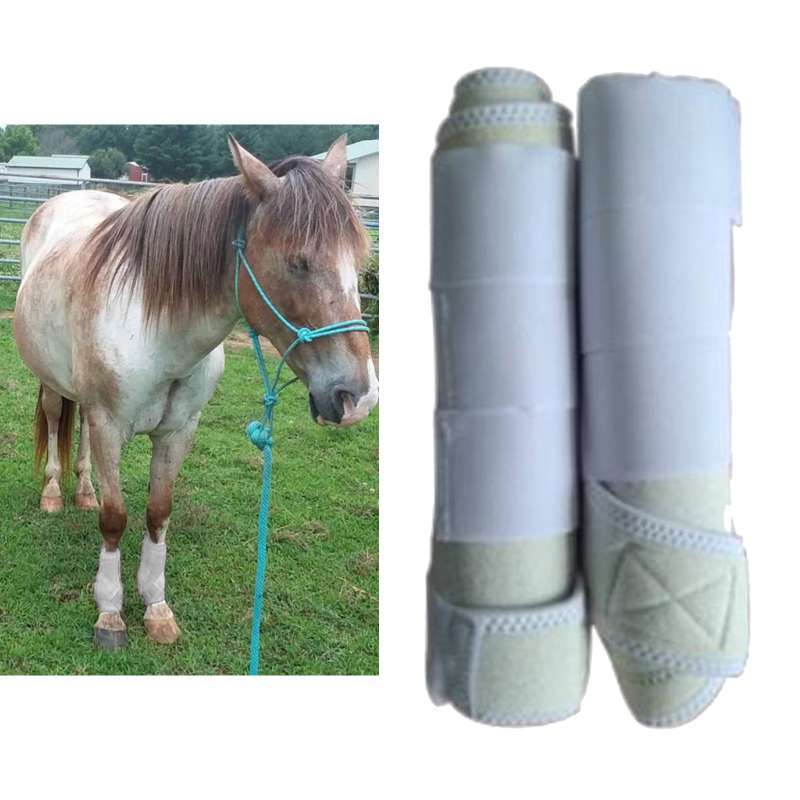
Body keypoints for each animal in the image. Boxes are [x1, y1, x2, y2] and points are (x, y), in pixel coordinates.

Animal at [12, 135, 378, 650]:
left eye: (358, 262)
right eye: (297, 262)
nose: (358, 397)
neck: (156, 329)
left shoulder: (179, 432)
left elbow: (158, 512)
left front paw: (156, 608)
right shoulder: (110, 425)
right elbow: (115, 518)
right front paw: (110, 614)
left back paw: (83, 492)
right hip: (49, 381)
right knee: (52, 416)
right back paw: (52, 493)